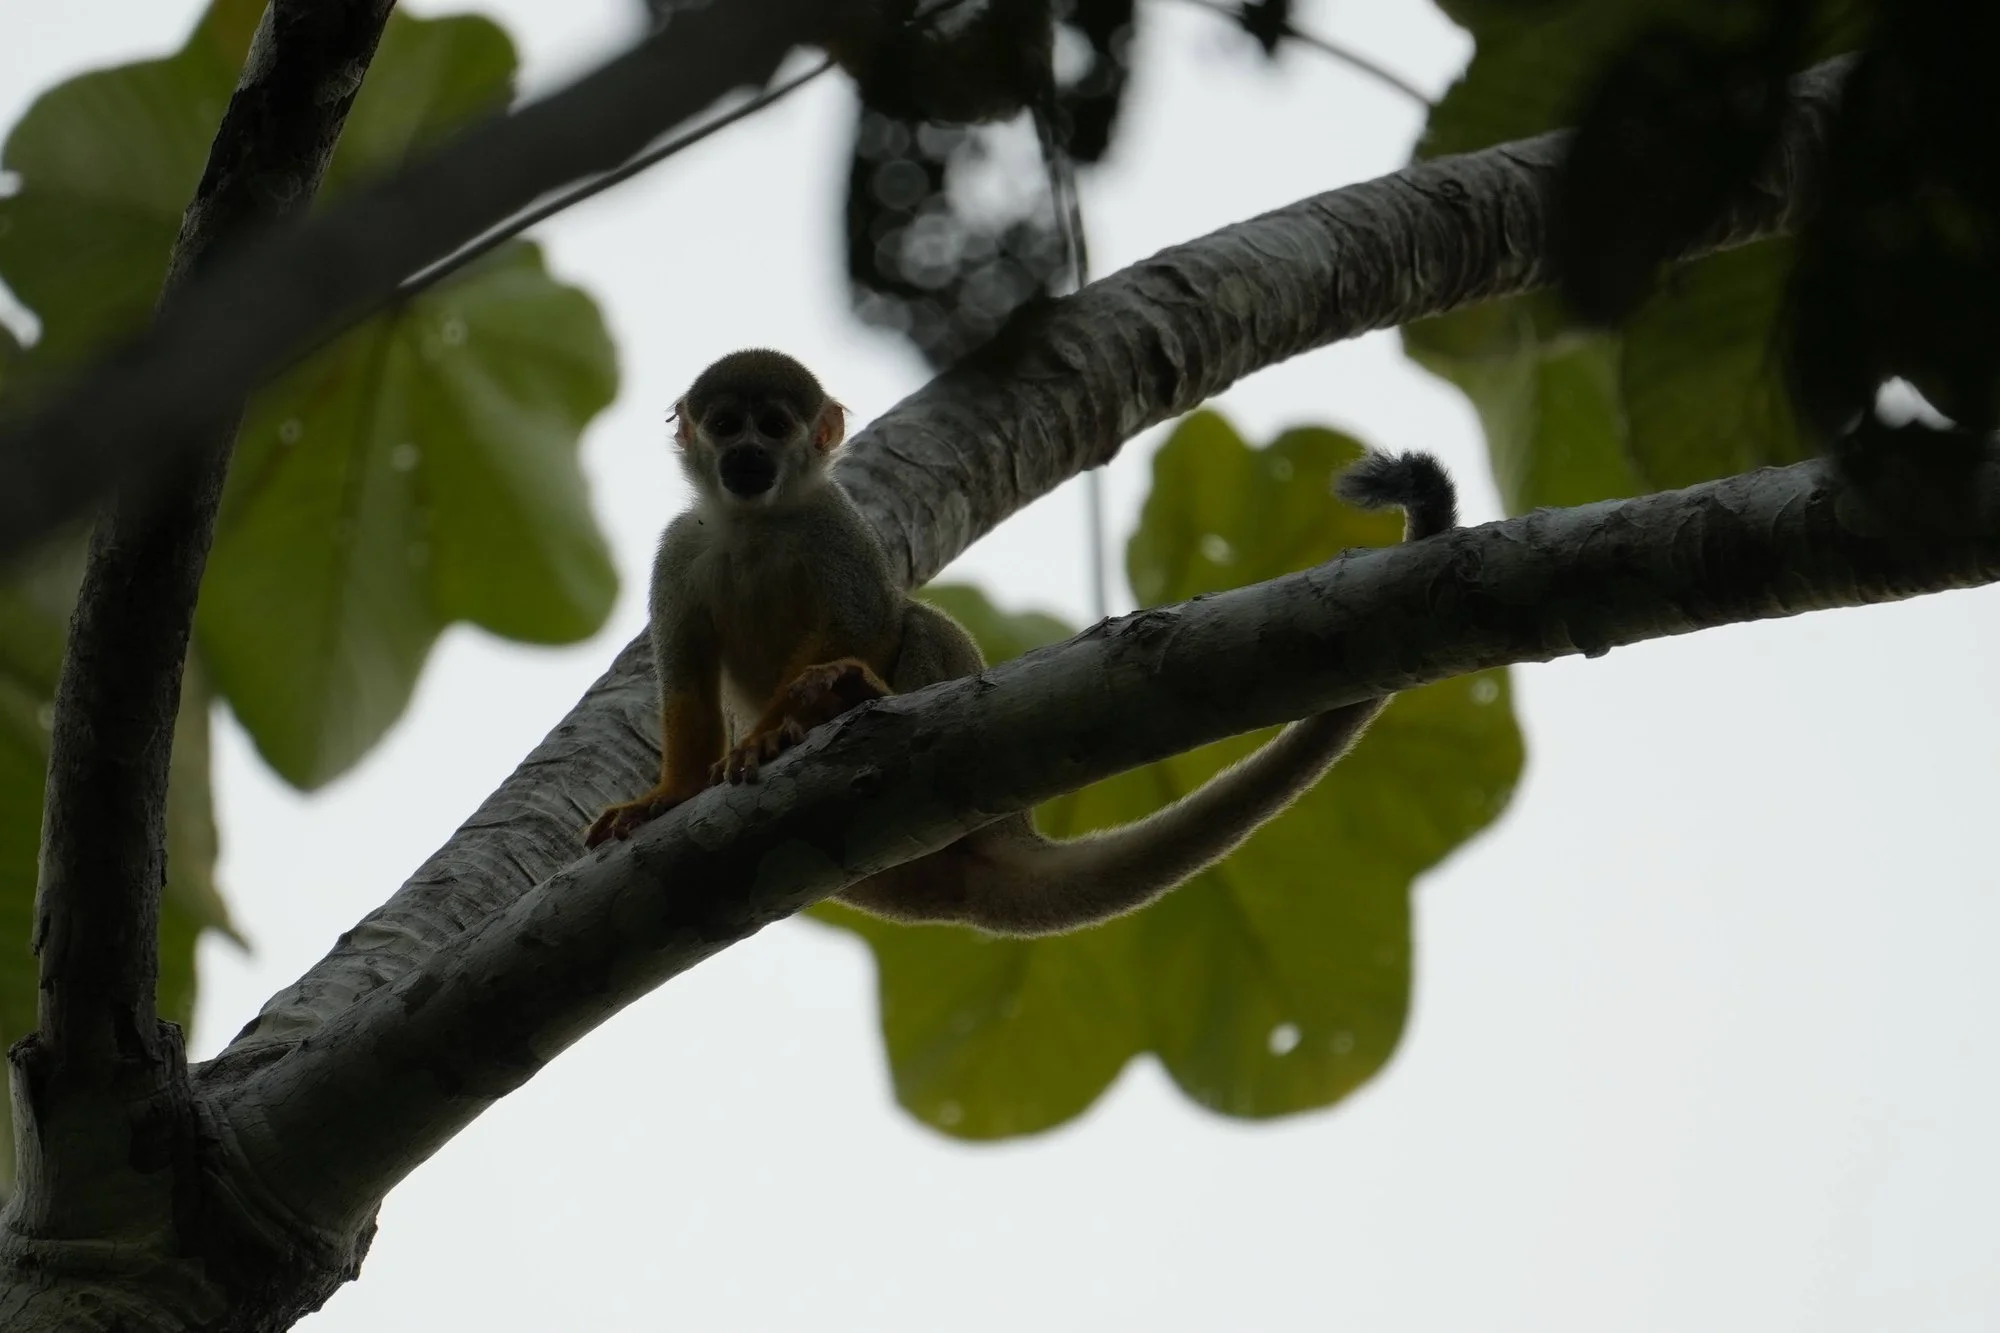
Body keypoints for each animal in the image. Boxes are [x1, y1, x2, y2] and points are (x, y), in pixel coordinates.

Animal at [583, 349, 1458, 937]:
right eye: (726, 424)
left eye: (774, 425)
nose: (746, 454)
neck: (755, 520)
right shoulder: (681, 547)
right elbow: (684, 681)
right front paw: (670, 793)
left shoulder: (837, 523)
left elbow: (866, 619)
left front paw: (776, 728)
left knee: (917, 622)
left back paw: (852, 700)